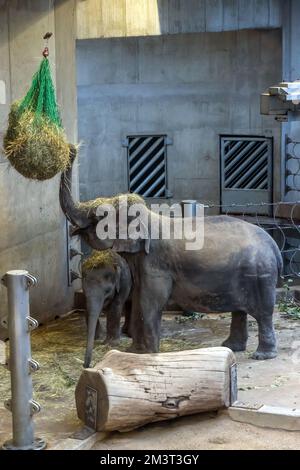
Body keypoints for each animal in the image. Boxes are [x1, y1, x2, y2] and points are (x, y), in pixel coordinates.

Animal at [60, 148, 282, 360]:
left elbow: (150, 301)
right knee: (240, 310)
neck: (148, 217)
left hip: (260, 274)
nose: (72, 149)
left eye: (99, 216)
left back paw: (262, 355)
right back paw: (231, 347)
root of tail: (272, 244)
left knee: (263, 313)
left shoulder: (156, 264)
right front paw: (134, 351)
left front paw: (149, 354)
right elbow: (139, 298)